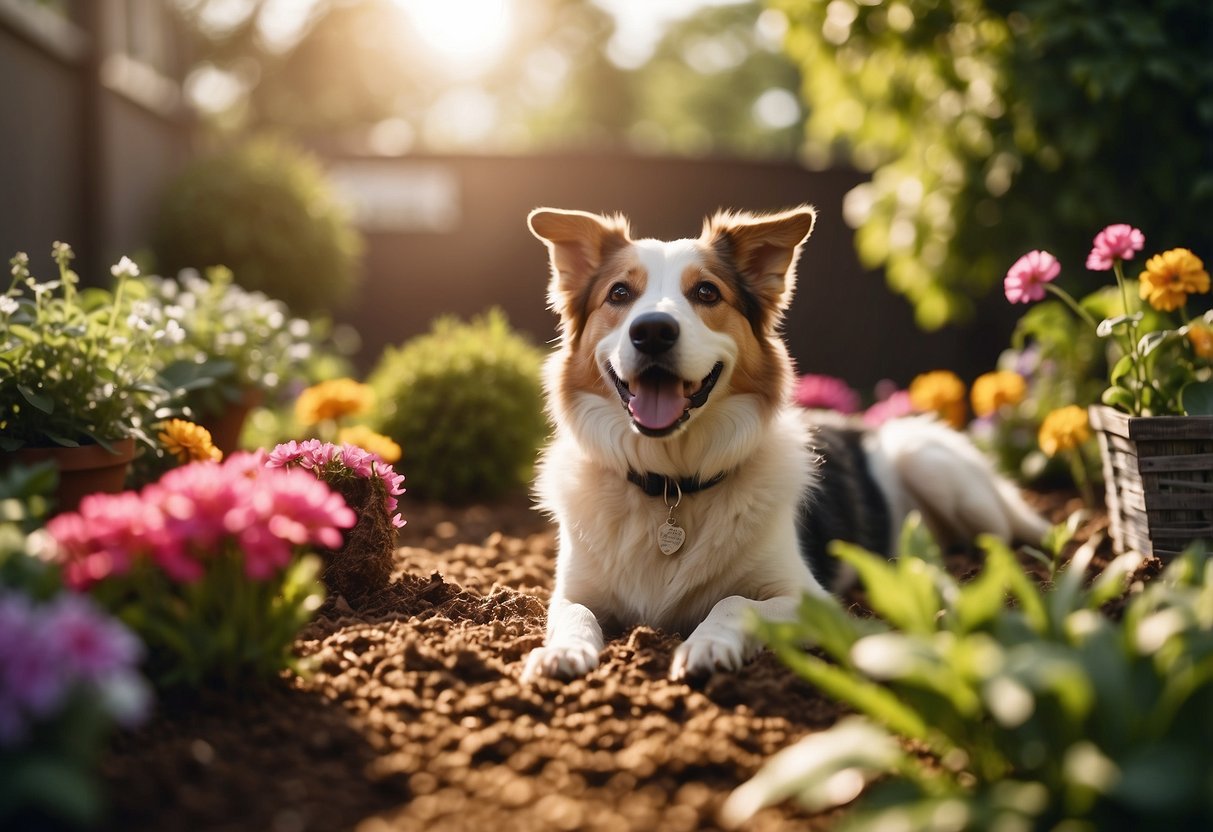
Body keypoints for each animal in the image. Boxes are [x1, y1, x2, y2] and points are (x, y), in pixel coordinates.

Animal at [521, 203, 1052, 684]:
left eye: (706, 292)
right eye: (620, 293)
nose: (652, 330)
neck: (672, 481)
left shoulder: (809, 598)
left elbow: (735, 601)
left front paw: (707, 646)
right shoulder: (572, 590)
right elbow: (574, 613)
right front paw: (562, 652)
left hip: (931, 465)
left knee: (1001, 540)